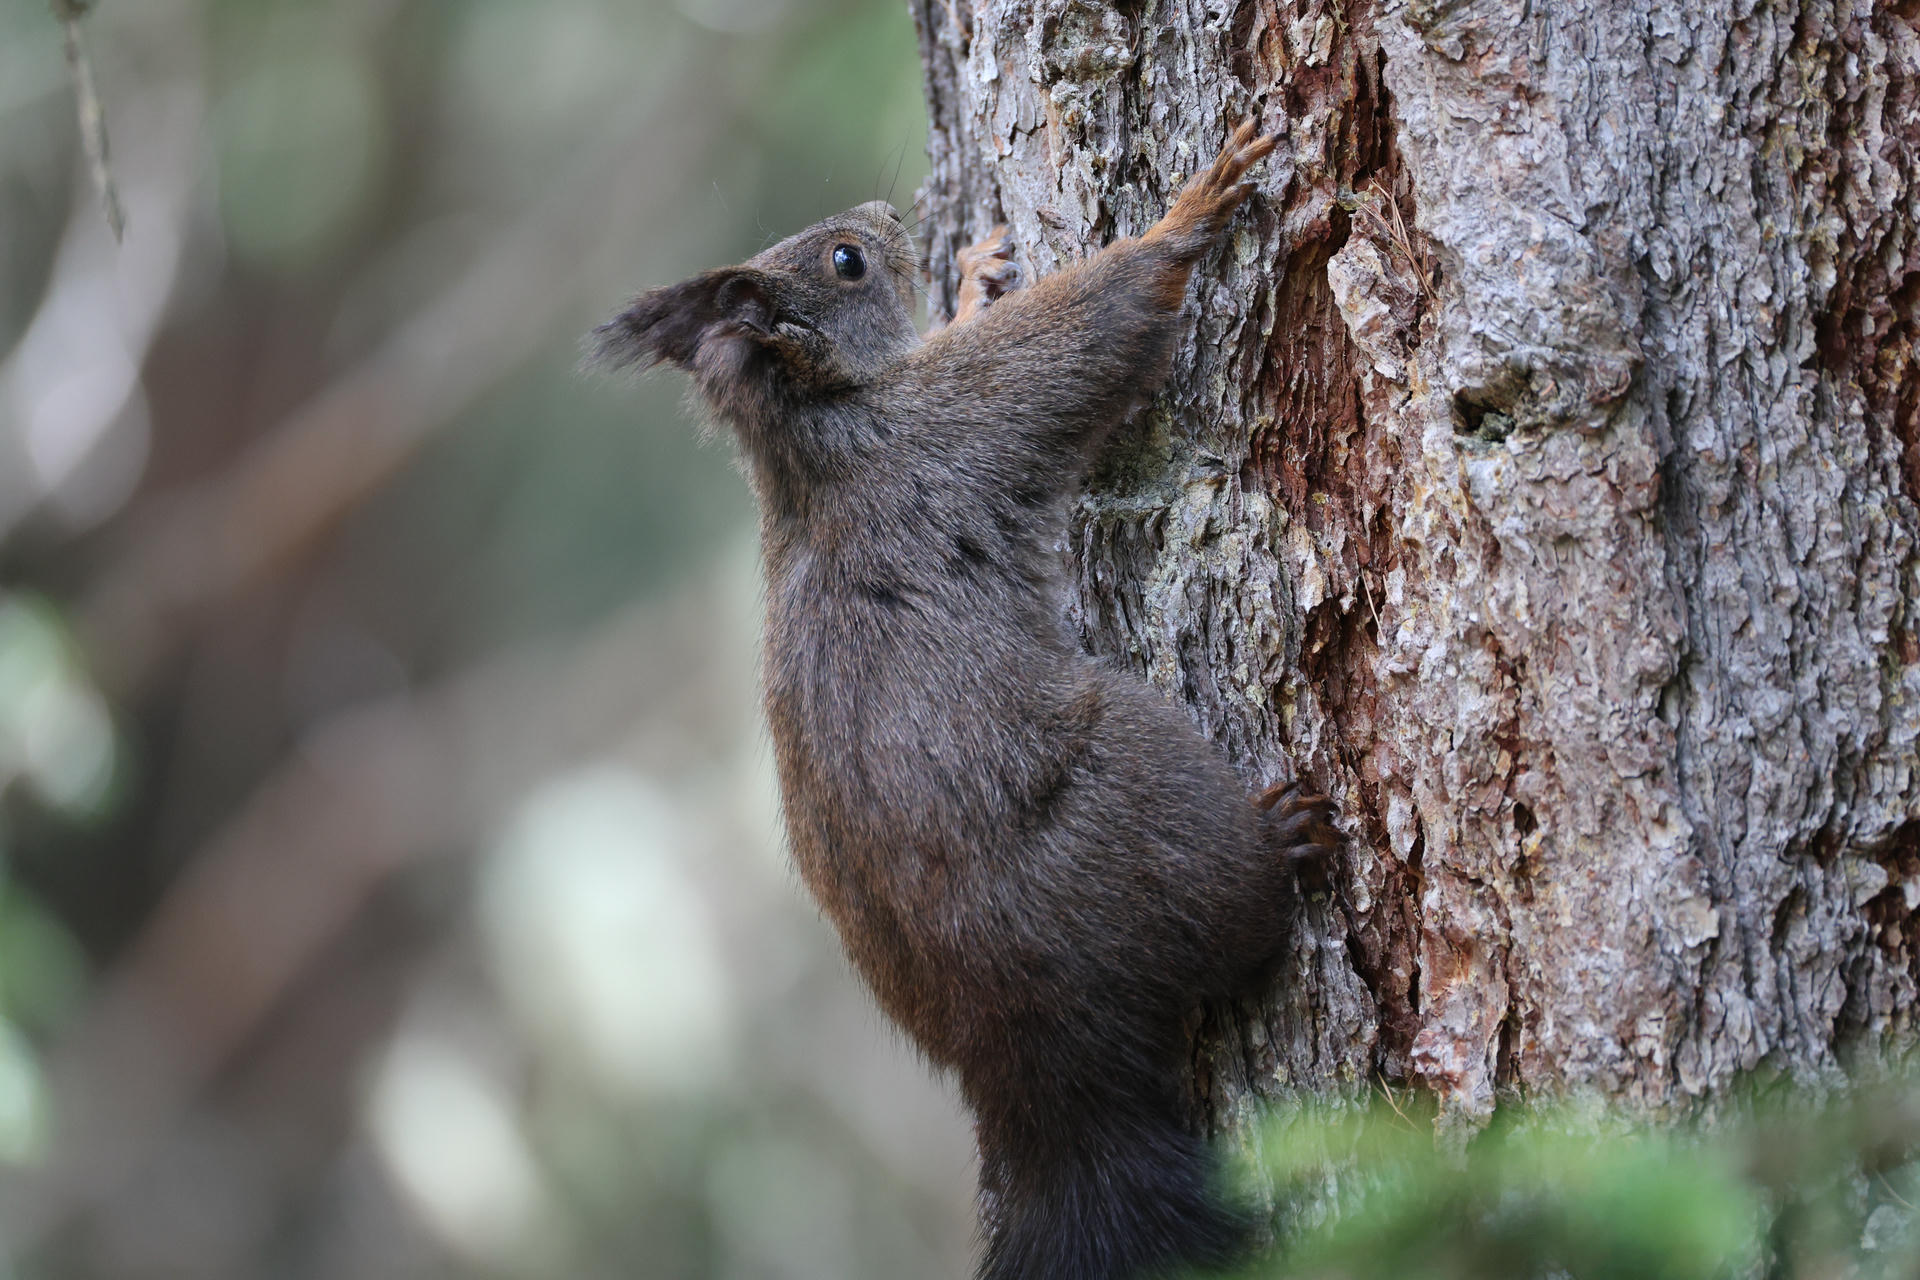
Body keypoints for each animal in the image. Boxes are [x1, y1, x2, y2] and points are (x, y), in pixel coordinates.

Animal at [592, 120, 1338, 1280]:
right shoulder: (960, 413)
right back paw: (1280, 841)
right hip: (1139, 775)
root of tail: (1041, 1077)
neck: (819, 424)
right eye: (847, 261)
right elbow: (1082, 332)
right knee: (1235, 916)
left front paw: (977, 273)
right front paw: (1187, 214)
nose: (888, 214)